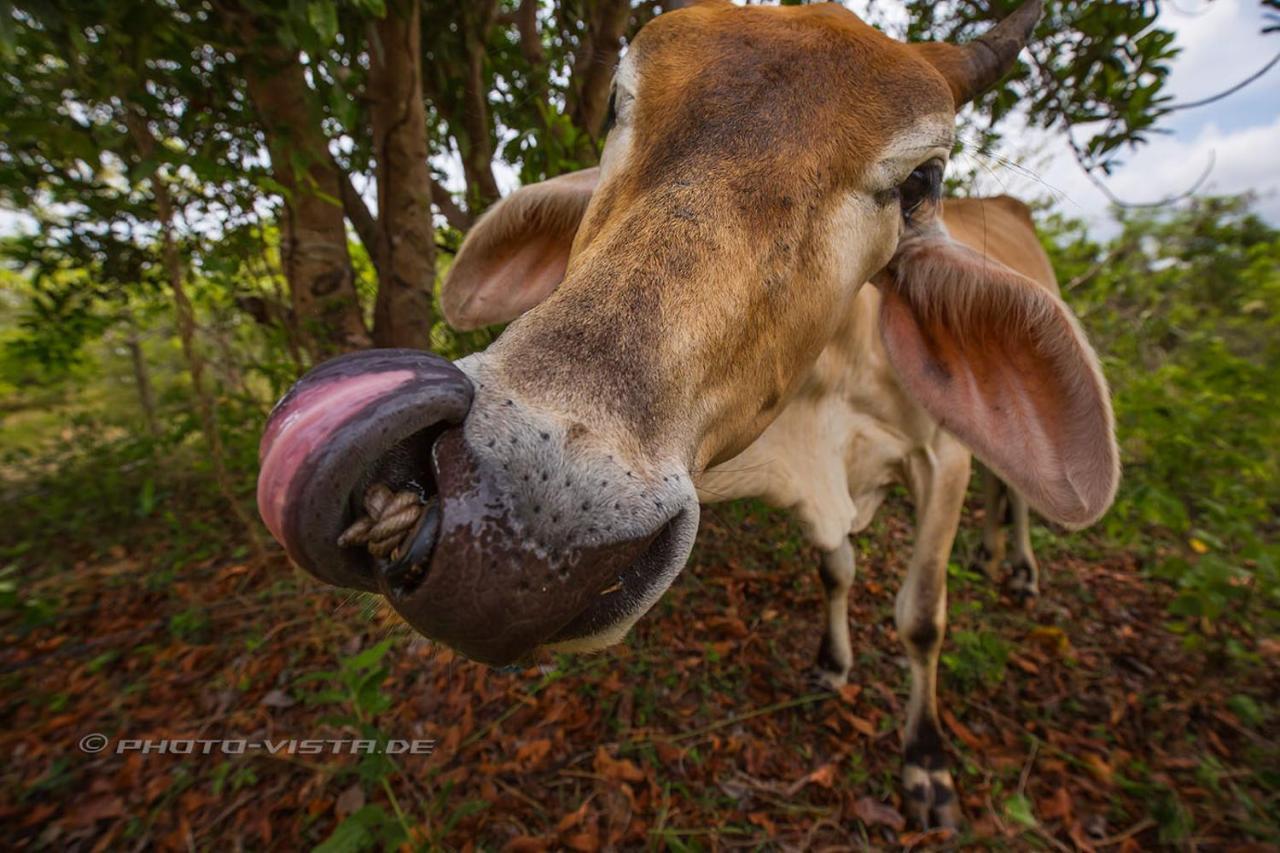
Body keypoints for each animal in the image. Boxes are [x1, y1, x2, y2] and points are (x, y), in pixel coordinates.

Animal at [254, 0, 1116, 824]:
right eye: (615, 104)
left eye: (922, 182)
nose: (516, 536)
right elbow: (835, 566)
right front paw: (832, 662)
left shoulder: (945, 459)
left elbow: (922, 619)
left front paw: (926, 762)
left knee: (1015, 491)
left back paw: (1018, 564)